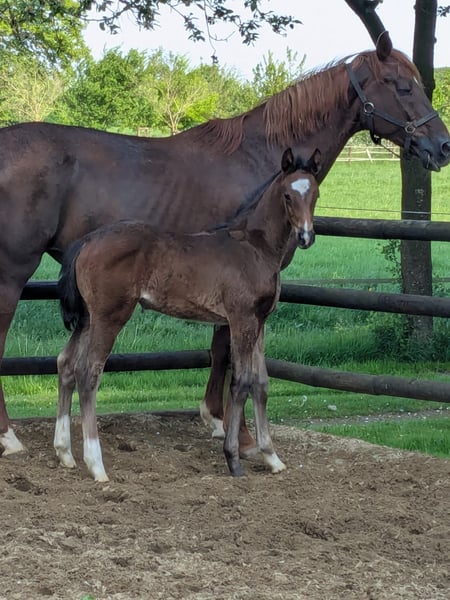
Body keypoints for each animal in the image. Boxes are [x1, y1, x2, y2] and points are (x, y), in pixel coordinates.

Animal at [54, 148, 321, 481]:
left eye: (315, 193)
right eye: (287, 195)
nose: (306, 236)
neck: (255, 247)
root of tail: (88, 241)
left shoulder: (259, 322)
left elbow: (261, 384)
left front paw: (272, 458)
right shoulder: (242, 320)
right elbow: (241, 383)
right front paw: (233, 459)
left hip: (88, 318)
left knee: (65, 364)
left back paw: (65, 453)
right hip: (109, 317)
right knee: (88, 373)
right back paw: (96, 465)